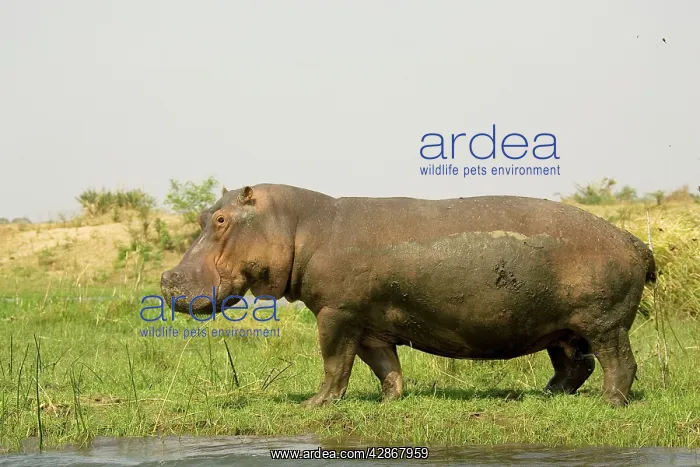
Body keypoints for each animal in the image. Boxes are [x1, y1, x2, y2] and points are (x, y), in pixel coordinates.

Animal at [161, 184, 656, 407]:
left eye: (220, 219)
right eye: (205, 216)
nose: (166, 280)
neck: (296, 225)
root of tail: (634, 240)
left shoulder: (336, 312)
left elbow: (334, 361)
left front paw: (315, 404)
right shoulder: (368, 323)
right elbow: (383, 365)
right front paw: (390, 401)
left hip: (604, 322)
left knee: (619, 363)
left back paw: (610, 403)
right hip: (560, 327)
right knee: (574, 364)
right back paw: (544, 395)